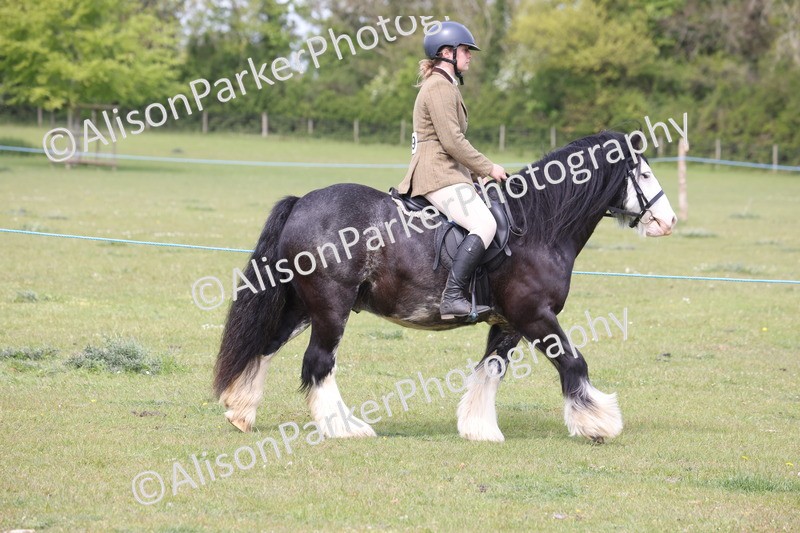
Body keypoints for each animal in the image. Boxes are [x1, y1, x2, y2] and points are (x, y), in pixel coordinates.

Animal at [212, 130, 677, 443]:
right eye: (645, 173)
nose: (669, 221)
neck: (538, 227)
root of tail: (302, 203)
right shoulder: (535, 316)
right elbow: (573, 363)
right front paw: (598, 422)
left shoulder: (508, 323)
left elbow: (490, 371)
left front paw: (479, 428)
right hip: (330, 307)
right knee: (319, 363)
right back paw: (346, 428)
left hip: (301, 306)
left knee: (266, 345)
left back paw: (240, 410)